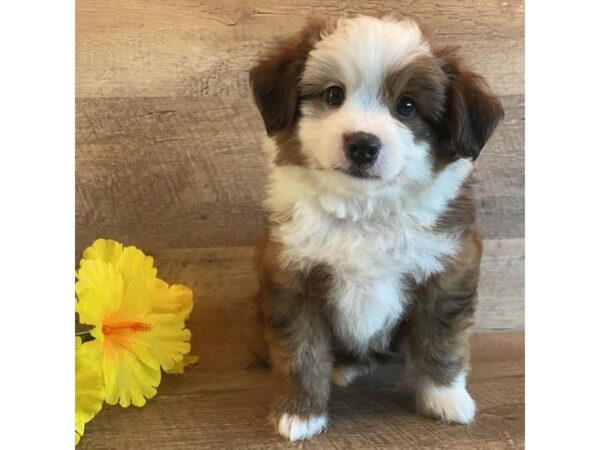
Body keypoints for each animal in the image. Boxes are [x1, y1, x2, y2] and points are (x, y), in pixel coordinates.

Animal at [246, 13, 504, 440]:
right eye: (334, 95)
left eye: (407, 107)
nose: (363, 145)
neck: (364, 211)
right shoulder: (292, 277)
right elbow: (301, 351)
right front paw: (300, 413)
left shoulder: (448, 270)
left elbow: (442, 338)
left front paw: (445, 398)